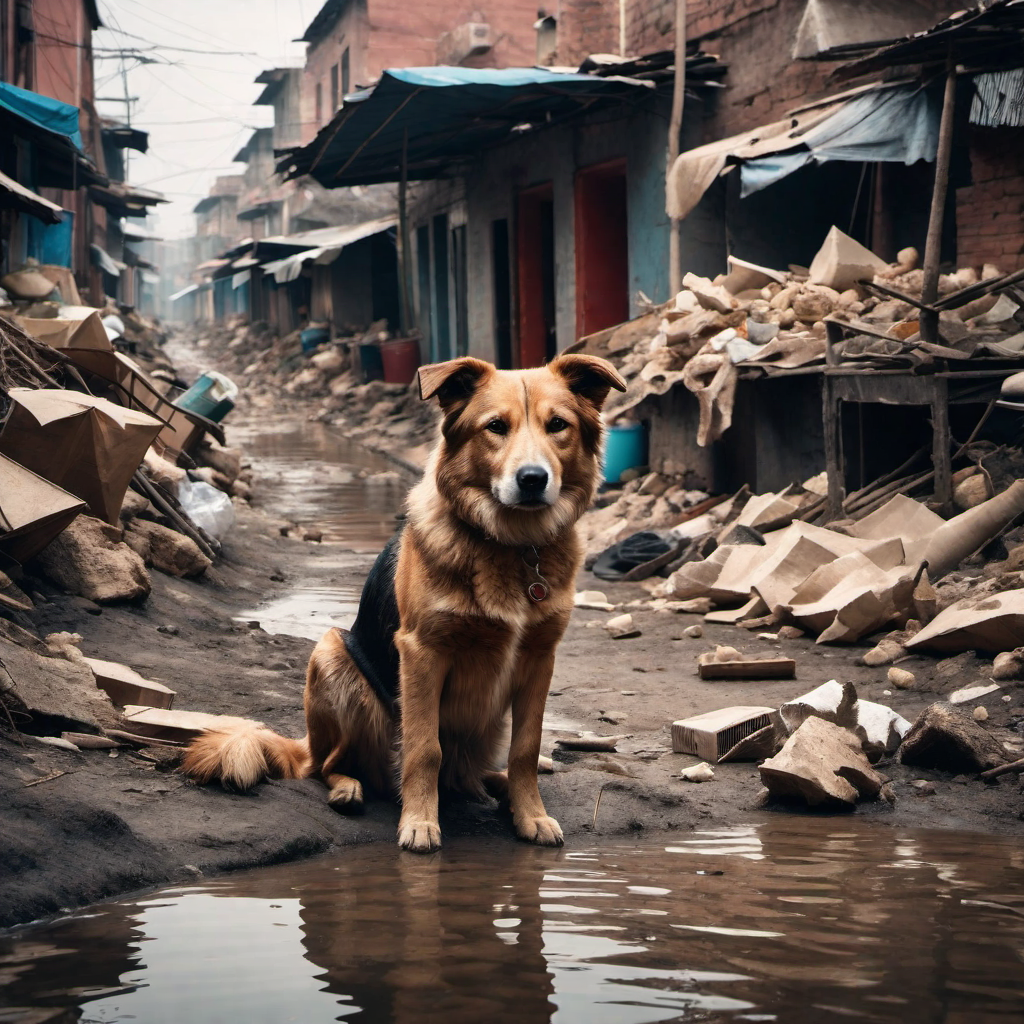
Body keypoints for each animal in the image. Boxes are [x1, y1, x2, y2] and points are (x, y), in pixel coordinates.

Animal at [183, 356, 622, 851]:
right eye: (495, 426)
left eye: (557, 425)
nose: (532, 480)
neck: (512, 544)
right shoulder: (422, 653)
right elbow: (424, 748)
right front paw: (419, 822)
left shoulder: (540, 658)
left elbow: (526, 749)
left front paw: (531, 814)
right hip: (331, 653)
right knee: (326, 766)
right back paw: (348, 787)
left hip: (484, 727)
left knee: (473, 773)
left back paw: (498, 785)